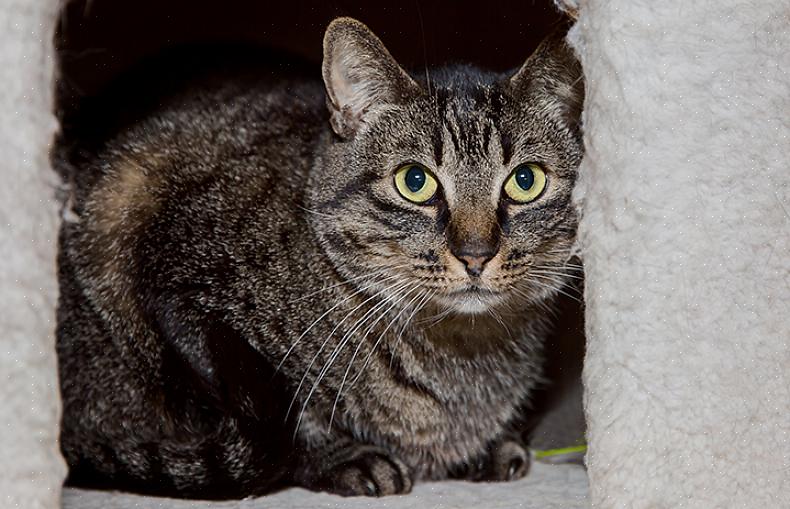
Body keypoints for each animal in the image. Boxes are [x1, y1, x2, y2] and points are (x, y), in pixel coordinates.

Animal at [54, 16, 580, 500]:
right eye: (415, 181)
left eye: (526, 181)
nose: (475, 255)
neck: (460, 357)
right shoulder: (172, 283)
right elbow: (285, 409)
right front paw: (339, 456)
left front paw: (493, 444)